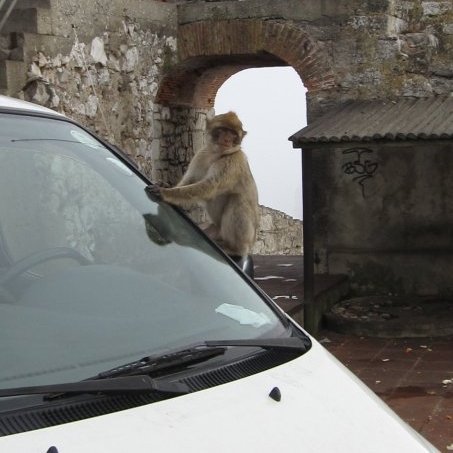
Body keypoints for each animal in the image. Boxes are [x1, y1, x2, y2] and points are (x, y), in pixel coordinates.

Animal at [147, 111, 259, 258]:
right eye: (223, 130)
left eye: (233, 134)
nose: (227, 140)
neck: (216, 155)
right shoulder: (201, 155)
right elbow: (190, 180)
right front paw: (166, 186)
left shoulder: (233, 161)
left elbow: (210, 187)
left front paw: (165, 193)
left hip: (247, 237)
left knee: (237, 200)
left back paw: (234, 249)